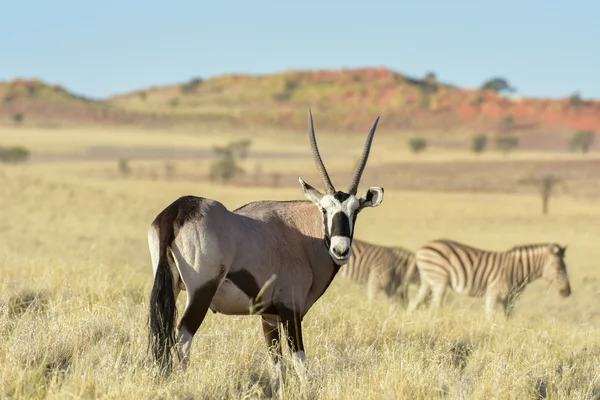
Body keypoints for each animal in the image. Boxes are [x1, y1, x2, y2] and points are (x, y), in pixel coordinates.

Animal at [148, 110, 386, 382]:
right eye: (324, 209)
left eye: (355, 211)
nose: (340, 250)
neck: (302, 234)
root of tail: (177, 210)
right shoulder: (290, 311)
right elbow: (300, 364)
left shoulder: (269, 317)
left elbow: (277, 366)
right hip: (200, 292)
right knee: (183, 336)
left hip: (170, 287)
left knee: (162, 332)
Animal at [404, 238, 572, 318]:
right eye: (559, 269)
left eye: (566, 268)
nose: (568, 292)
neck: (516, 269)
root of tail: (421, 248)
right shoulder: (493, 293)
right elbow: (489, 317)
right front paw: (491, 332)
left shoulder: (509, 299)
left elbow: (507, 319)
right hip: (439, 280)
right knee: (433, 306)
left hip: (427, 281)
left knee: (413, 303)